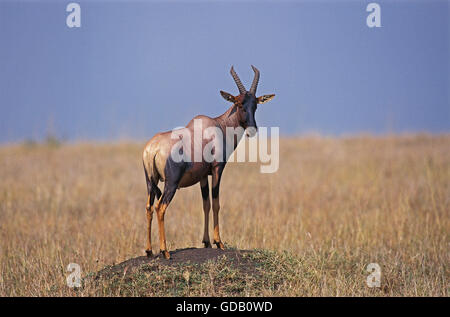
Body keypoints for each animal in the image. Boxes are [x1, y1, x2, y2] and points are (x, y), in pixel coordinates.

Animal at [142, 65, 274, 258]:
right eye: (239, 104)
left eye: (255, 105)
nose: (252, 130)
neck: (218, 126)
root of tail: (154, 148)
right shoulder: (217, 169)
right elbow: (216, 203)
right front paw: (219, 242)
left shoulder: (203, 176)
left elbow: (206, 204)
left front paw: (206, 242)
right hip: (171, 183)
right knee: (161, 207)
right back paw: (165, 251)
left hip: (150, 182)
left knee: (149, 207)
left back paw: (149, 250)